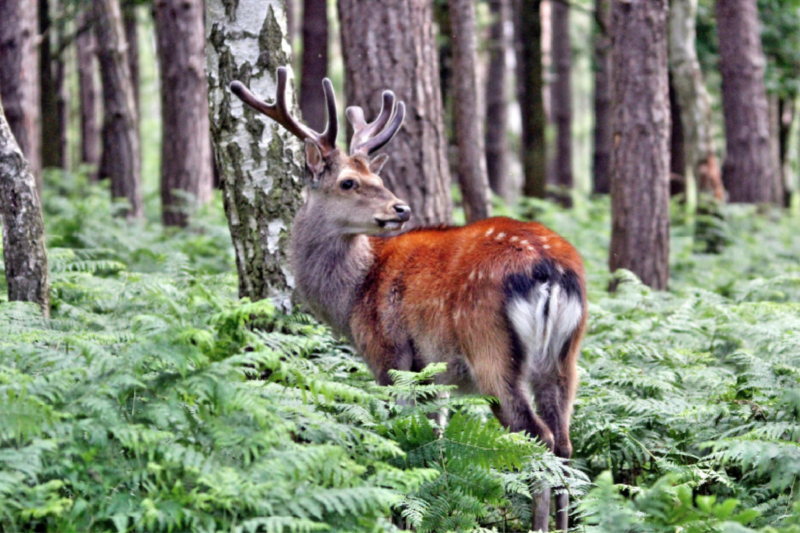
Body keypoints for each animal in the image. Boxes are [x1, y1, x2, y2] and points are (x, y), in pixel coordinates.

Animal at [231, 68, 588, 528]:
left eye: (377, 180)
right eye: (350, 182)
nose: (400, 208)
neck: (352, 299)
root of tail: (552, 271)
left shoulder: (389, 354)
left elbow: (401, 435)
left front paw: (401, 508)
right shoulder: (432, 376)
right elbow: (435, 439)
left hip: (490, 349)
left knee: (537, 437)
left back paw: (537, 525)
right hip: (564, 357)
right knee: (564, 442)